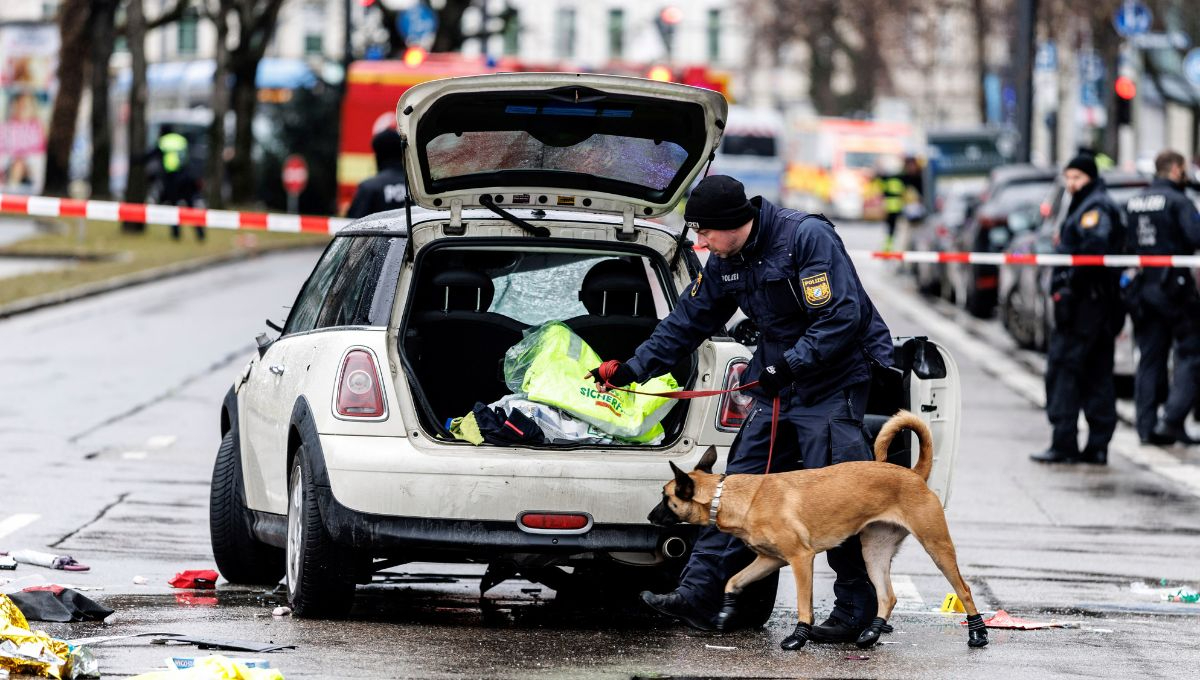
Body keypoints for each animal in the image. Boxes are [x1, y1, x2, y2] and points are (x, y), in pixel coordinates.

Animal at [652, 412, 988, 652]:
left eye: (665, 498)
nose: (650, 516)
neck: (731, 496)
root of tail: (913, 474)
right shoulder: (769, 560)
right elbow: (733, 581)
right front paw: (725, 612)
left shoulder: (801, 559)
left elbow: (804, 605)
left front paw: (798, 637)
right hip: (874, 552)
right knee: (888, 596)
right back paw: (871, 632)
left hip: (937, 547)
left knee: (964, 590)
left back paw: (978, 633)